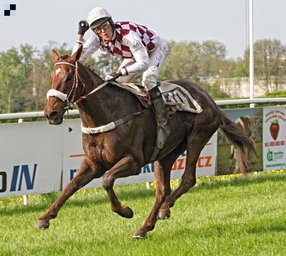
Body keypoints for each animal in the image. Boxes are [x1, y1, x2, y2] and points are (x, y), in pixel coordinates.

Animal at [34, 45, 256, 238]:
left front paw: (125, 210)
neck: (105, 114)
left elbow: (107, 180)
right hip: (167, 152)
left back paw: (162, 211)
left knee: (187, 179)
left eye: (69, 77)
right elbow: (70, 186)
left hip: (197, 137)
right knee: (162, 190)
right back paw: (146, 226)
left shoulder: (133, 162)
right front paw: (44, 218)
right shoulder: (93, 163)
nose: (51, 113)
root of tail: (211, 100)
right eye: (51, 77)